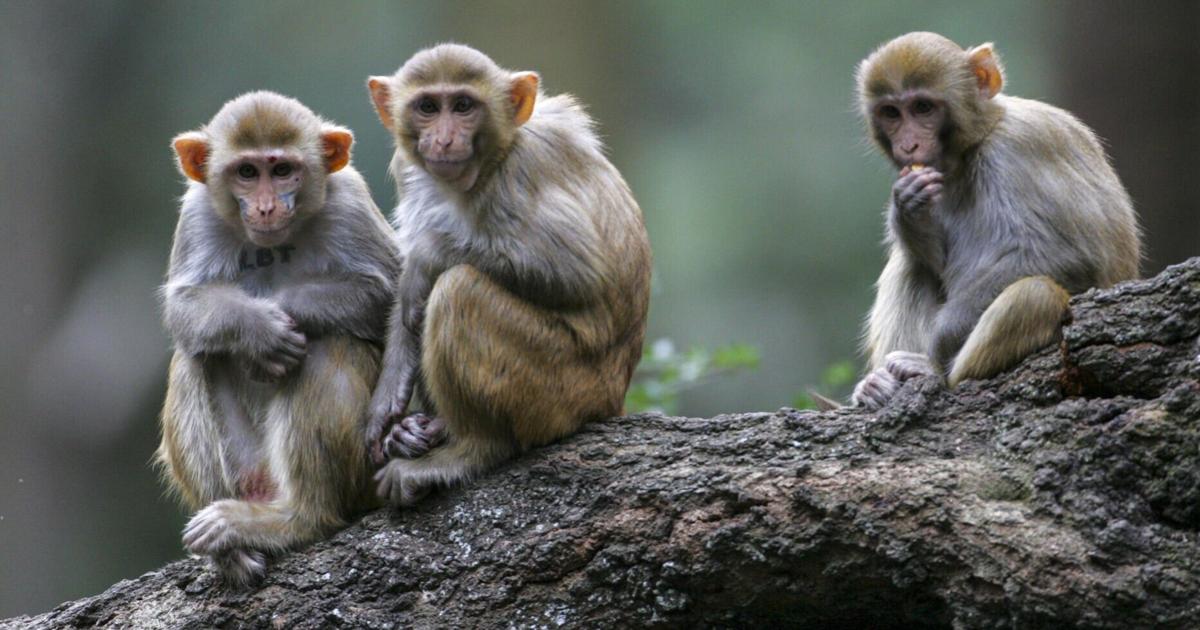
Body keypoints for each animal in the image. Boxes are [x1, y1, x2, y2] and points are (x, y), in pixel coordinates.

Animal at [158, 91, 400, 585]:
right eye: (247, 173)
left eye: (283, 169)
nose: (268, 206)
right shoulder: (198, 214)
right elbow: (185, 303)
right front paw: (257, 330)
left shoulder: (349, 203)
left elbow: (383, 292)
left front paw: (278, 317)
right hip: (250, 469)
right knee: (194, 355)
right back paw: (232, 551)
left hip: (362, 473)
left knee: (329, 344)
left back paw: (296, 520)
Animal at [363, 44, 651, 506]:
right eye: (428, 107)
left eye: (463, 106)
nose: (444, 139)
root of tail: (612, 398)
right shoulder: (409, 171)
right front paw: (387, 403)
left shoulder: (520, 174)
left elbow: (576, 271)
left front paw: (425, 259)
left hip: (560, 389)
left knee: (458, 291)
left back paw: (470, 451)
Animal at [849, 32, 1140, 410]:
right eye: (891, 113)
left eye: (922, 108)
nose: (909, 145)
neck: (976, 143)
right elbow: (934, 263)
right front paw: (908, 210)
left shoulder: (1018, 149)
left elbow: (1070, 256)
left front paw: (935, 350)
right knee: (911, 265)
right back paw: (878, 385)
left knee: (1036, 293)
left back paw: (935, 372)